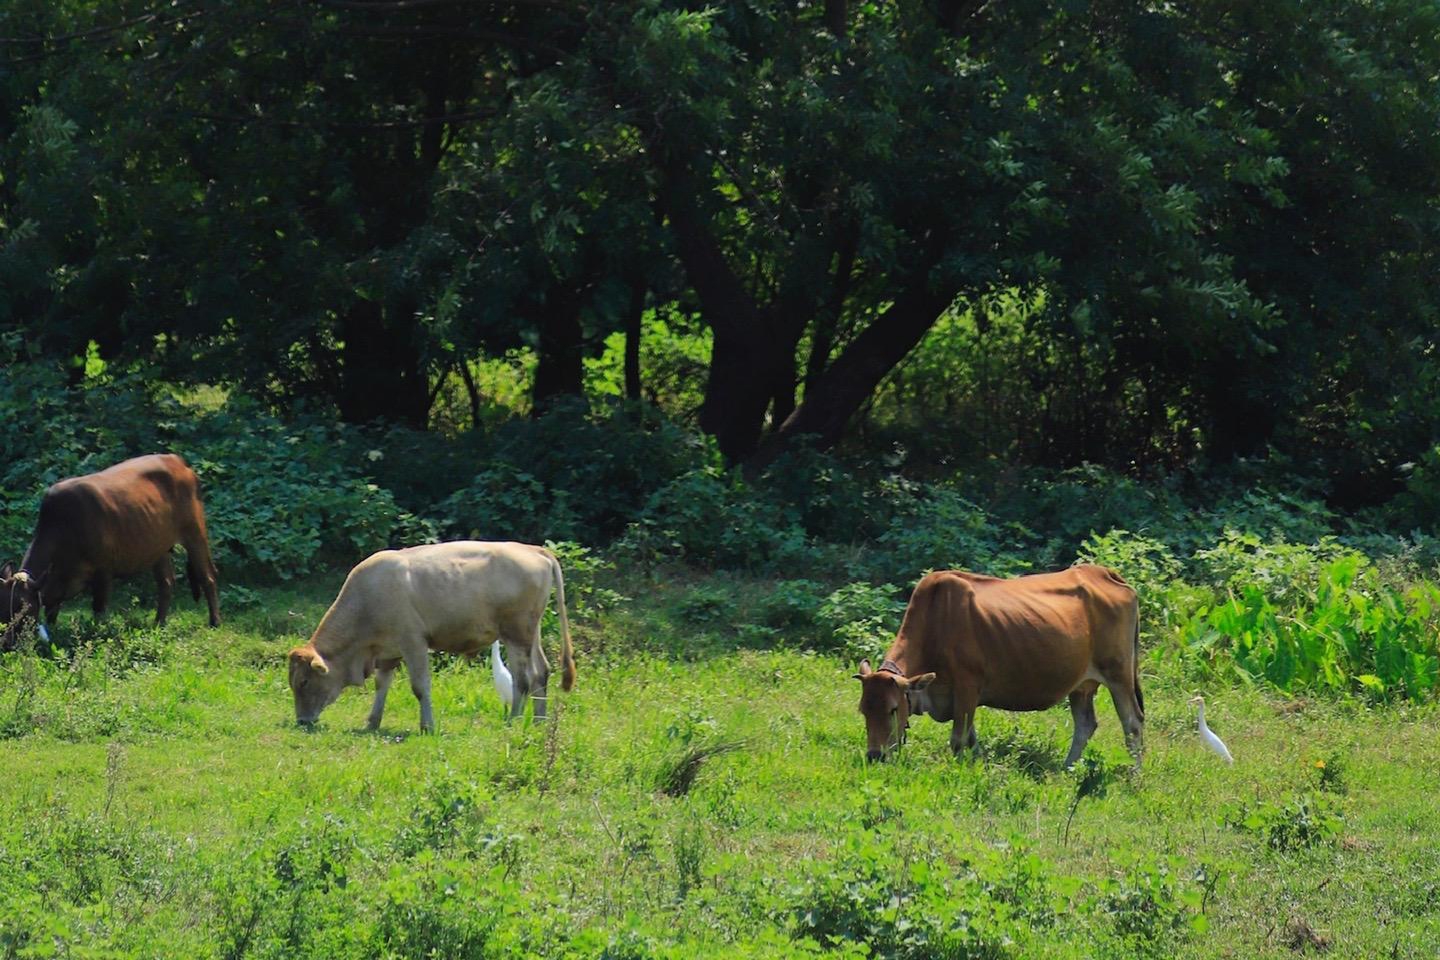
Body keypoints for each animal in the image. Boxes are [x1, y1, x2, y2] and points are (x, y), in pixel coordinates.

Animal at [1, 454, 220, 650]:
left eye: (24, 610)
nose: (7, 643)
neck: (63, 527)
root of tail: (178, 461)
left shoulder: (104, 572)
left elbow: (99, 610)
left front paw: (97, 635)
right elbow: (51, 613)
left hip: (195, 532)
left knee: (208, 576)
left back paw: (214, 622)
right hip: (158, 547)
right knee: (166, 583)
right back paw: (159, 623)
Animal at [289, 541, 576, 736]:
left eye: (304, 682)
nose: (302, 721)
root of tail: (534, 549)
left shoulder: (413, 642)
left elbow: (420, 686)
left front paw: (427, 725)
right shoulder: (387, 651)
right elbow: (382, 685)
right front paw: (372, 721)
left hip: (516, 633)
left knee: (523, 678)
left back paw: (514, 720)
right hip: (531, 632)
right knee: (541, 673)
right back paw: (539, 721)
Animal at [846, 567, 1140, 771]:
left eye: (893, 709)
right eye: (863, 710)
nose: (875, 756)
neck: (936, 624)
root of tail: (1105, 573)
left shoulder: (967, 687)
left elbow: (958, 739)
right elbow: (971, 740)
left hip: (1119, 674)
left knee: (1132, 723)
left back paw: (1133, 775)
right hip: (1081, 685)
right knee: (1085, 724)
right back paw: (1068, 769)